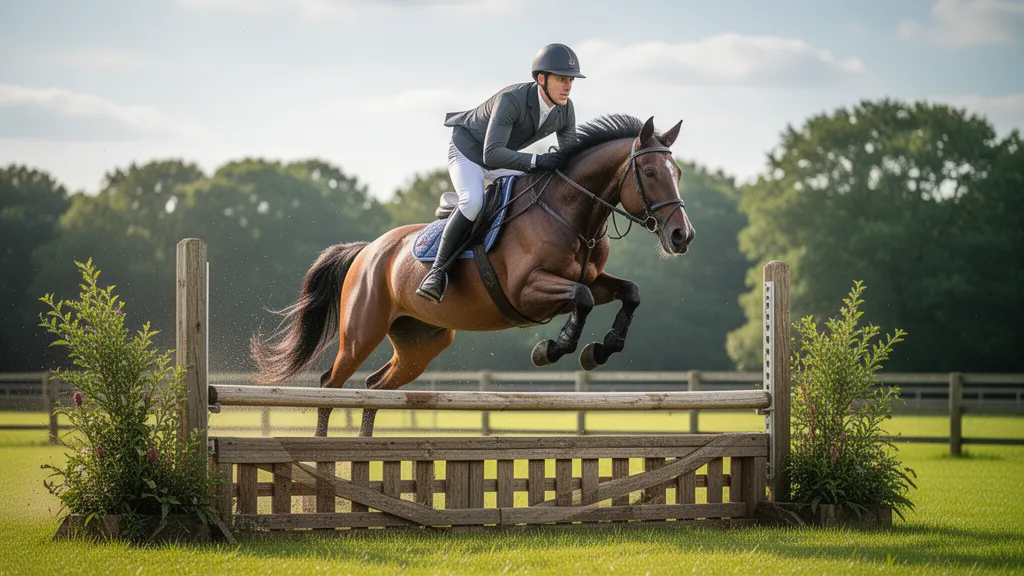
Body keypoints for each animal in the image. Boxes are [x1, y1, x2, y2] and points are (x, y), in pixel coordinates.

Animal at [250, 114, 695, 437]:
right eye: (650, 173)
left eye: (678, 173)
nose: (682, 235)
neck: (570, 212)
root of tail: (368, 251)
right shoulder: (526, 290)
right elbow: (582, 299)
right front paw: (551, 348)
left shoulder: (592, 278)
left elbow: (629, 292)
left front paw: (599, 350)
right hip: (361, 331)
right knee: (331, 384)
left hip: (422, 342)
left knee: (374, 389)